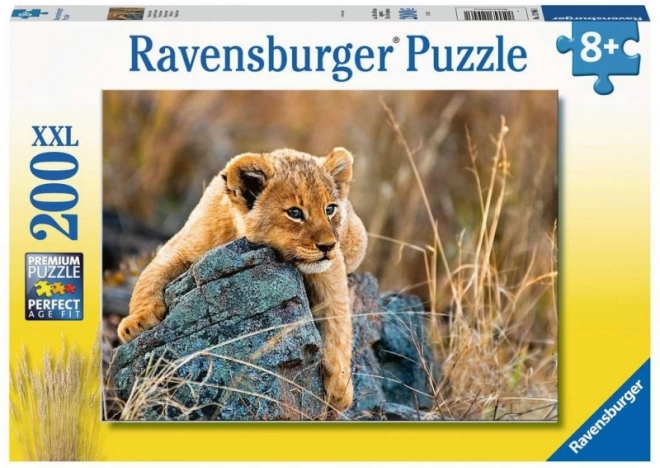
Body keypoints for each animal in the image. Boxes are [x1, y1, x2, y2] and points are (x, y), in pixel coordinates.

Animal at [117, 147, 368, 411]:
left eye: (330, 209)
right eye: (295, 213)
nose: (328, 246)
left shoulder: (331, 268)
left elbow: (338, 319)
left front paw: (340, 388)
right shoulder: (180, 246)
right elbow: (149, 277)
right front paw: (136, 323)